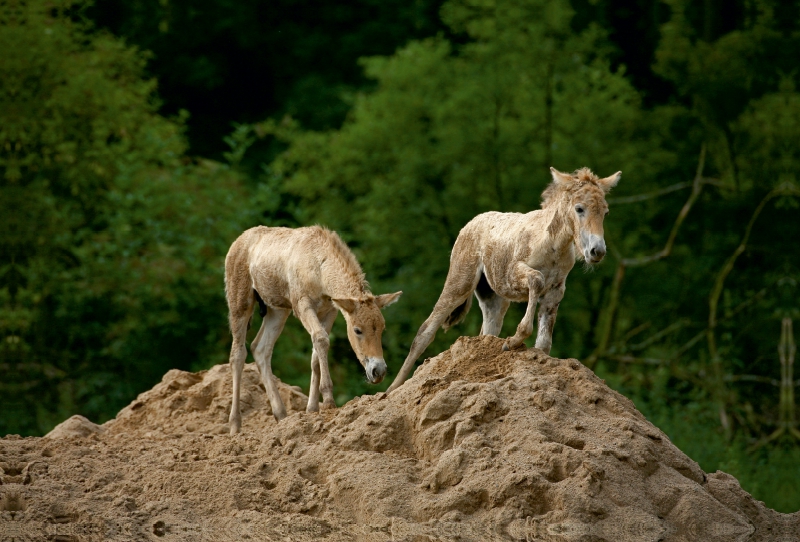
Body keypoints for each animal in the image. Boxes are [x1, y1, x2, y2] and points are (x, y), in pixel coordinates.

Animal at [225, 224, 400, 434]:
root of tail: (236, 243)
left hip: (278, 310)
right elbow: (321, 339)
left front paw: (312, 408)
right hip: (240, 302)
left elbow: (316, 350)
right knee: (238, 354)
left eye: (382, 328)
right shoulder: (302, 305)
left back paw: (281, 414)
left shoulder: (330, 310)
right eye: (357, 330)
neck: (319, 269)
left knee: (260, 348)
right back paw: (235, 424)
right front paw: (329, 400)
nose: (378, 371)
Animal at [388, 168, 620, 394]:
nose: (597, 251)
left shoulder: (556, 290)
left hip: (493, 297)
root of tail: (469, 225)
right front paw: (515, 340)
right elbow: (536, 280)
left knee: (487, 331)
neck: (554, 245)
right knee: (425, 331)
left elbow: (544, 342)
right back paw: (391, 389)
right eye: (579, 209)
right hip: (460, 283)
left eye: (606, 212)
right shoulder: (514, 274)